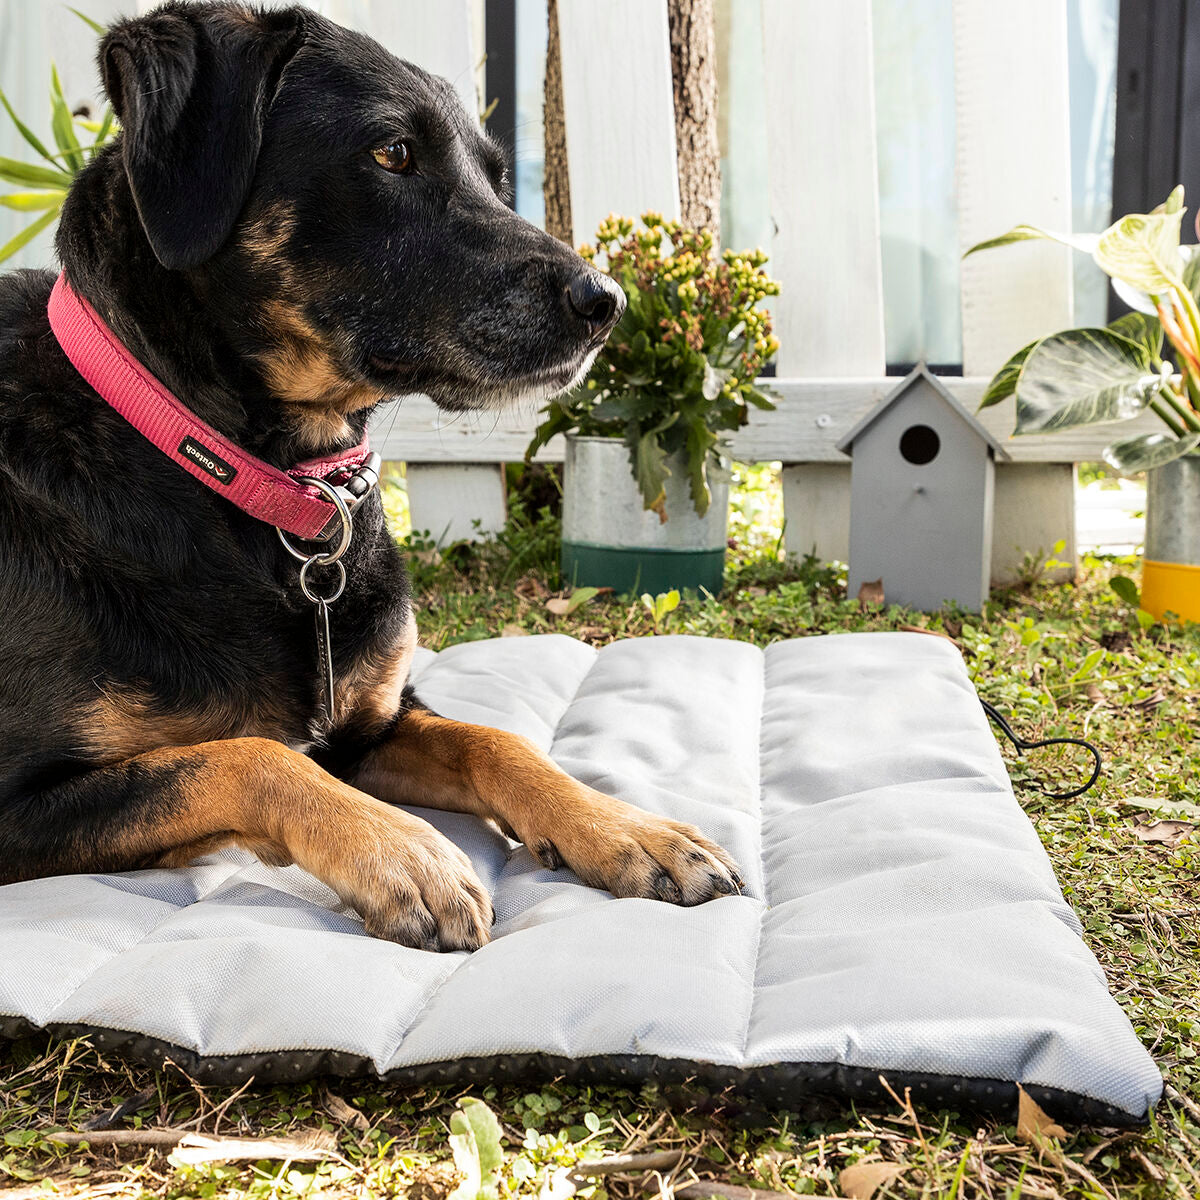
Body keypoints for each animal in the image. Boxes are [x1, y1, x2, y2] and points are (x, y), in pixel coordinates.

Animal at [0, 4, 739, 950]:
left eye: (497, 176)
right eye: (392, 153)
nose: (605, 303)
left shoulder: (372, 725)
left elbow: (497, 741)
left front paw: (624, 827)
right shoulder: (11, 799)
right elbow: (250, 754)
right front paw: (404, 853)